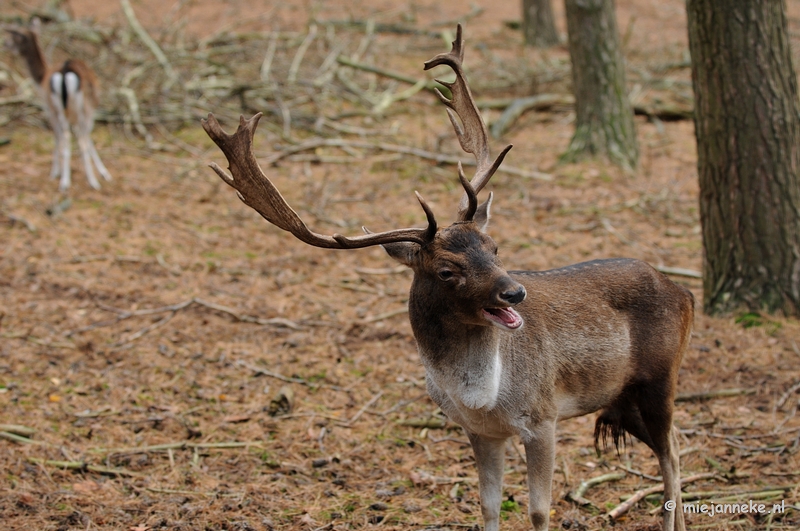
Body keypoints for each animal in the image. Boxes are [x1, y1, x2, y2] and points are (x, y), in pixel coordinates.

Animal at [6, 19, 111, 193]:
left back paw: (73, 181)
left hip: (74, 109)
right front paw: (104, 173)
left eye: (17, 37)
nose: (6, 45)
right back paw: (82, 180)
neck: (41, 80)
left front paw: (55, 171)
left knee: (72, 136)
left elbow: (58, 136)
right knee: (80, 136)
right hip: (79, 109)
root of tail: (65, 72)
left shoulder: (49, 109)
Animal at [202, 25, 692, 531]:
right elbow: (489, 504)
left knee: (674, 452)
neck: (482, 397)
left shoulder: (542, 416)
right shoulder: (480, 431)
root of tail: (684, 291)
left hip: (661, 376)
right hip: (625, 396)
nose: (515, 291)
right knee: (674, 447)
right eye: (446, 270)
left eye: (494, 247)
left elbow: (539, 511)